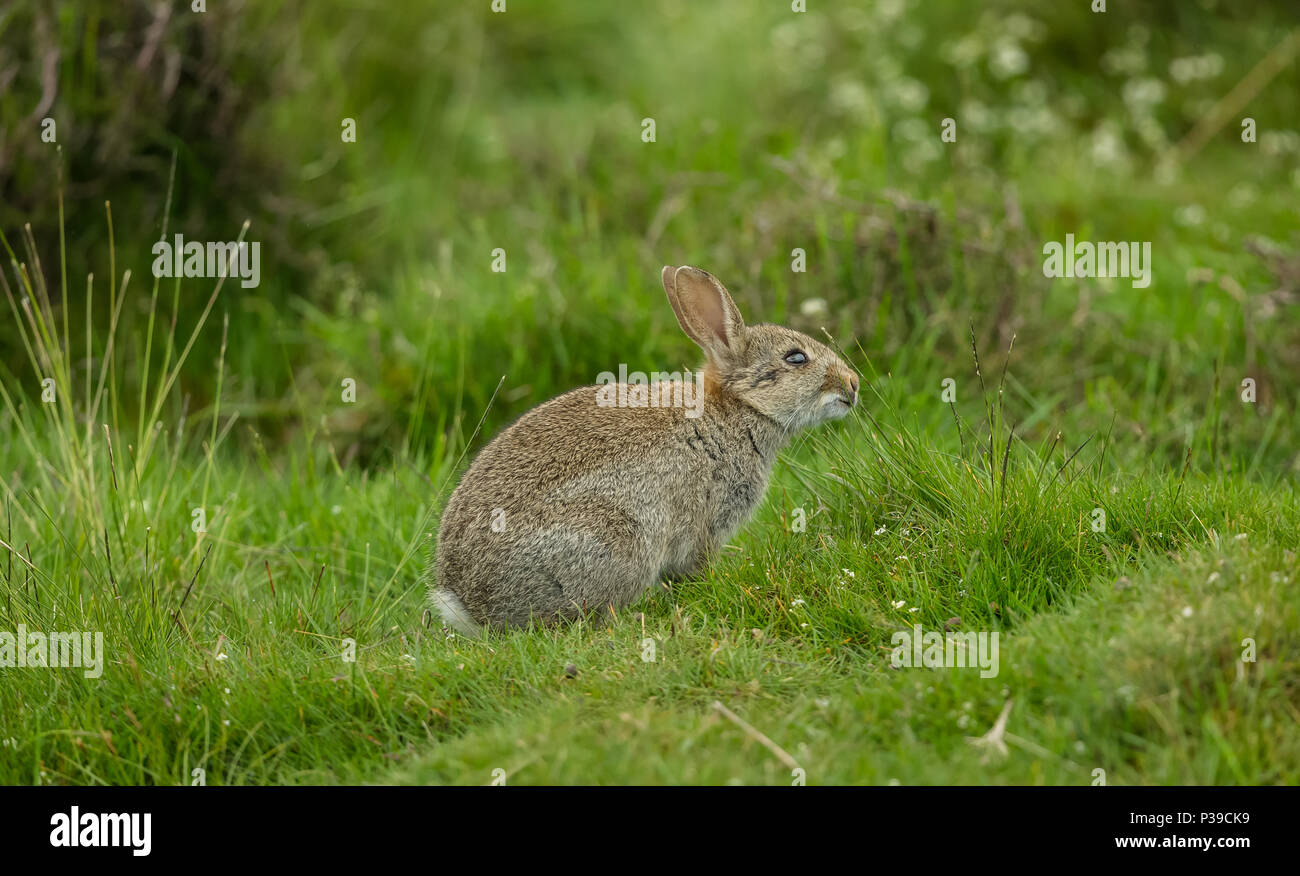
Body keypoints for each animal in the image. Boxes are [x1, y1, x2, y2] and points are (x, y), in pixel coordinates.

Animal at [428, 265, 859, 635]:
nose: (853, 384)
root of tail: (468, 604)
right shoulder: (704, 522)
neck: (733, 410)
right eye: (796, 358)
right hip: (613, 538)